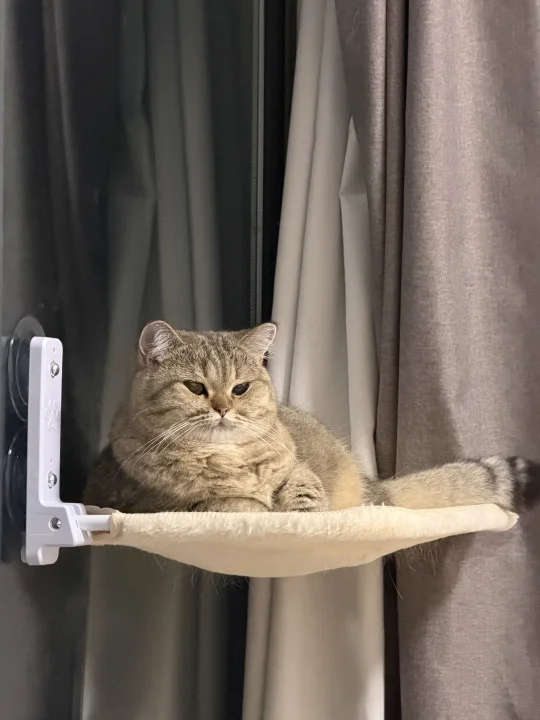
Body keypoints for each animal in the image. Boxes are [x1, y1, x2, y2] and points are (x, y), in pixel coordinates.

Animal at [84, 321, 540, 514]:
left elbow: (303, 491)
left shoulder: (296, 467)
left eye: (240, 388)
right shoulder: (162, 503)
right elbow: (230, 503)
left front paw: (302, 517)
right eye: (195, 387)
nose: (223, 407)